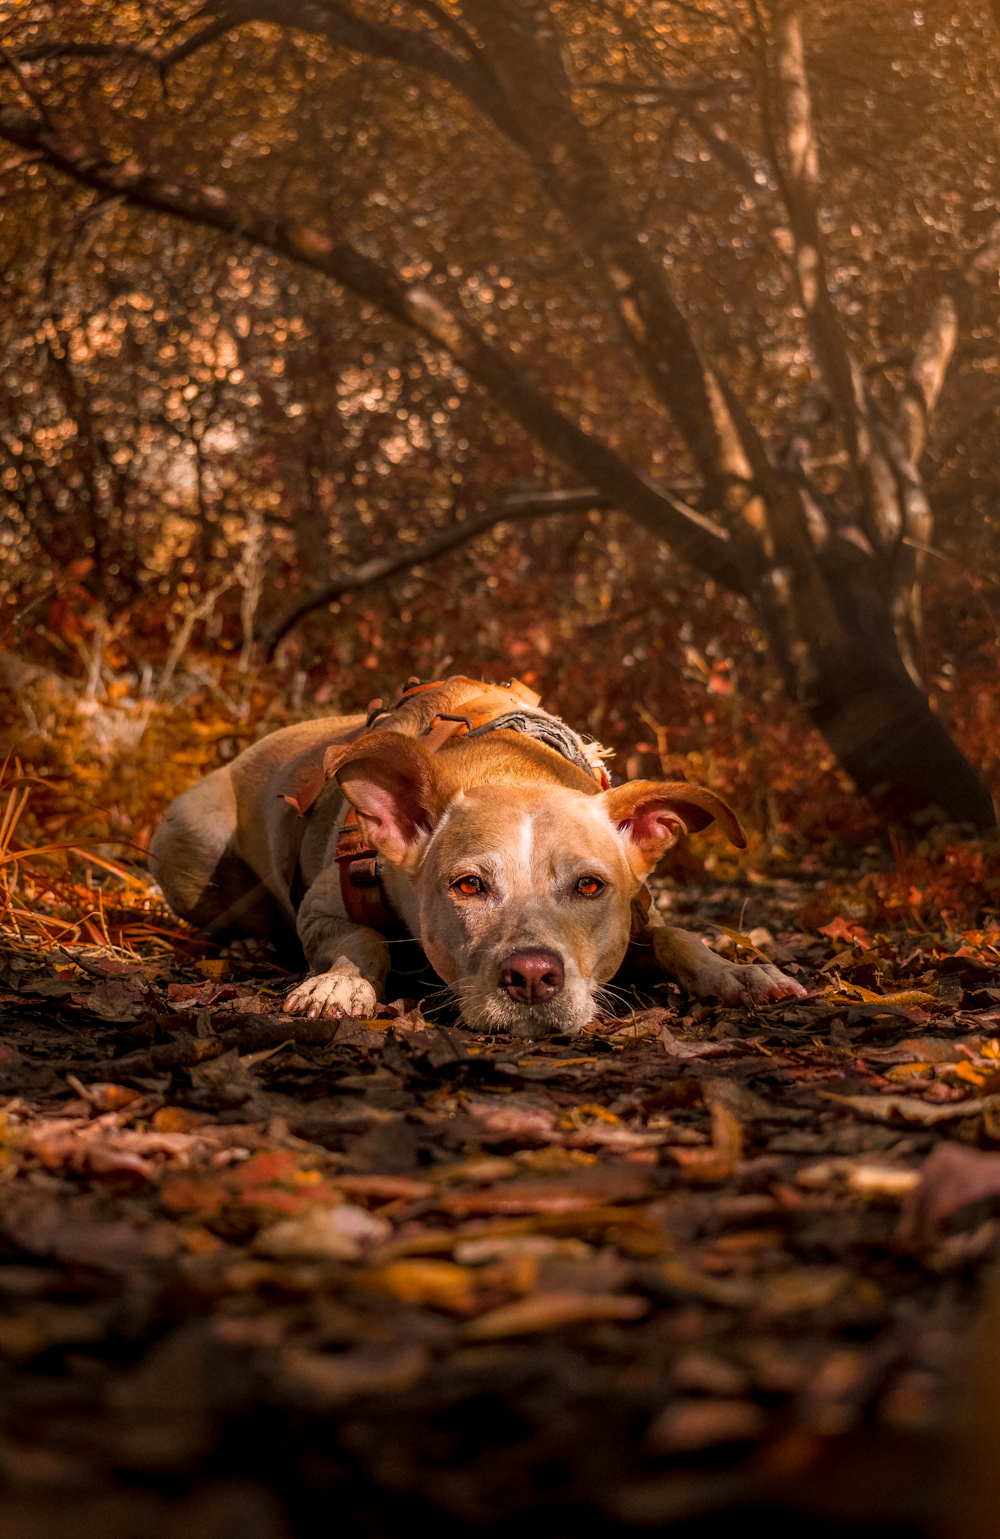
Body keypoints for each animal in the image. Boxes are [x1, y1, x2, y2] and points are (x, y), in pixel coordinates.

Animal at [147, 674, 800, 1034]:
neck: (511, 765)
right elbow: (367, 939)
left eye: (590, 886)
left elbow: (677, 936)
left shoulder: (639, 914)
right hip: (186, 844)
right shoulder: (323, 911)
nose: (533, 977)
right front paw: (339, 986)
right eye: (468, 885)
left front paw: (737, 972)